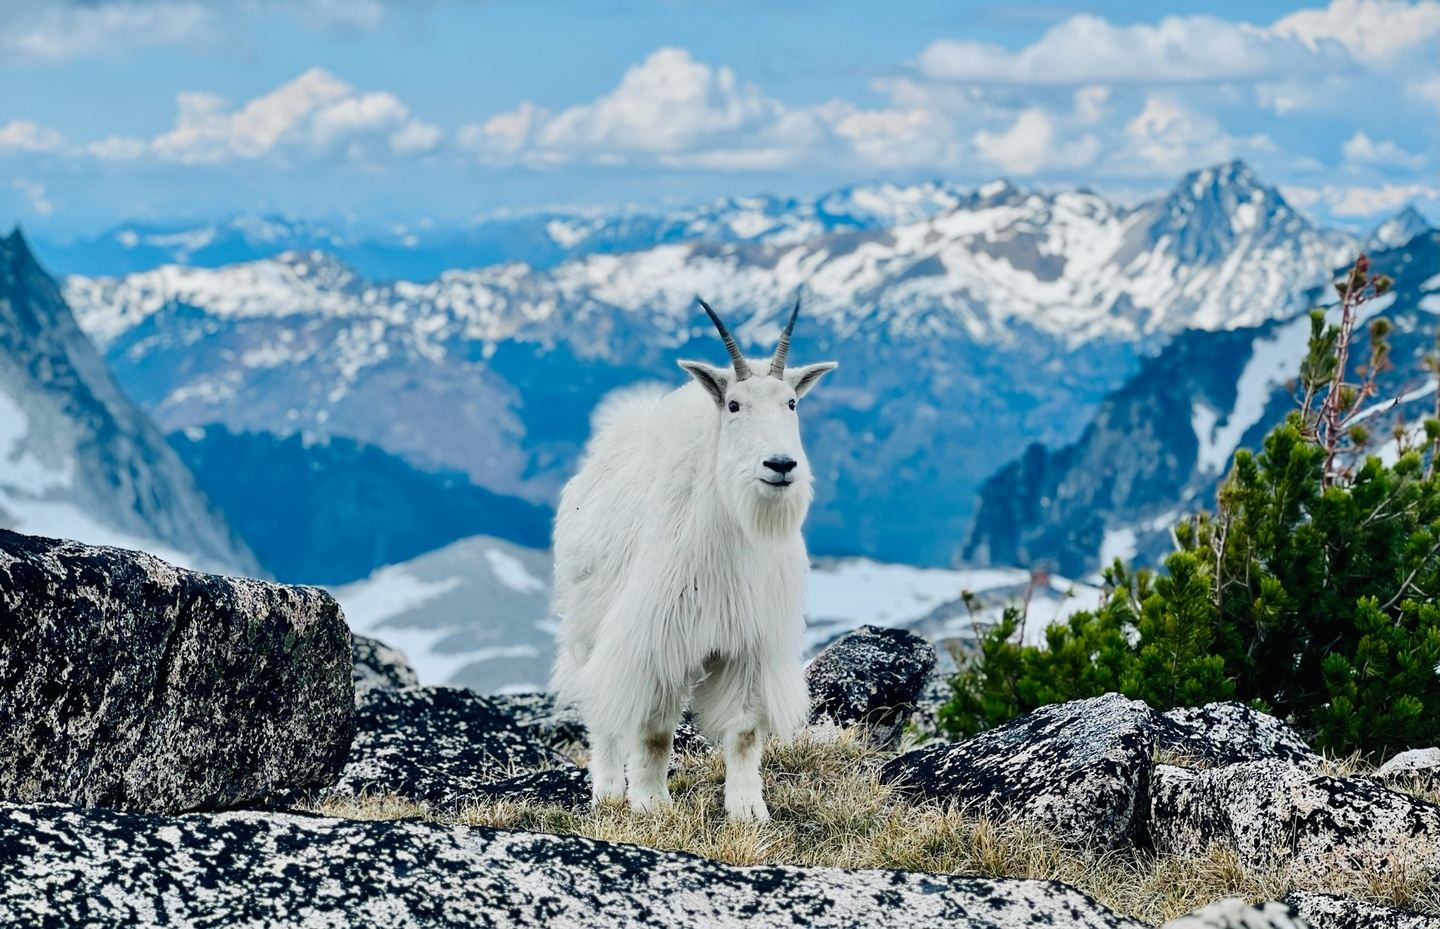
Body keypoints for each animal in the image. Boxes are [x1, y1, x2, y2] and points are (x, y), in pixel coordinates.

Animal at [552, 296, 840, 818]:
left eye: (791, 403)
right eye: (734, 404)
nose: (781, 465)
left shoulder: (751, 644)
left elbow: (744, 731)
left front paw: (748, 810)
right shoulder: (658, 637)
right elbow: (654, 730)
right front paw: (651, 803)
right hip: (588, 624)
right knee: (600, 704)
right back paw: (608, 789)